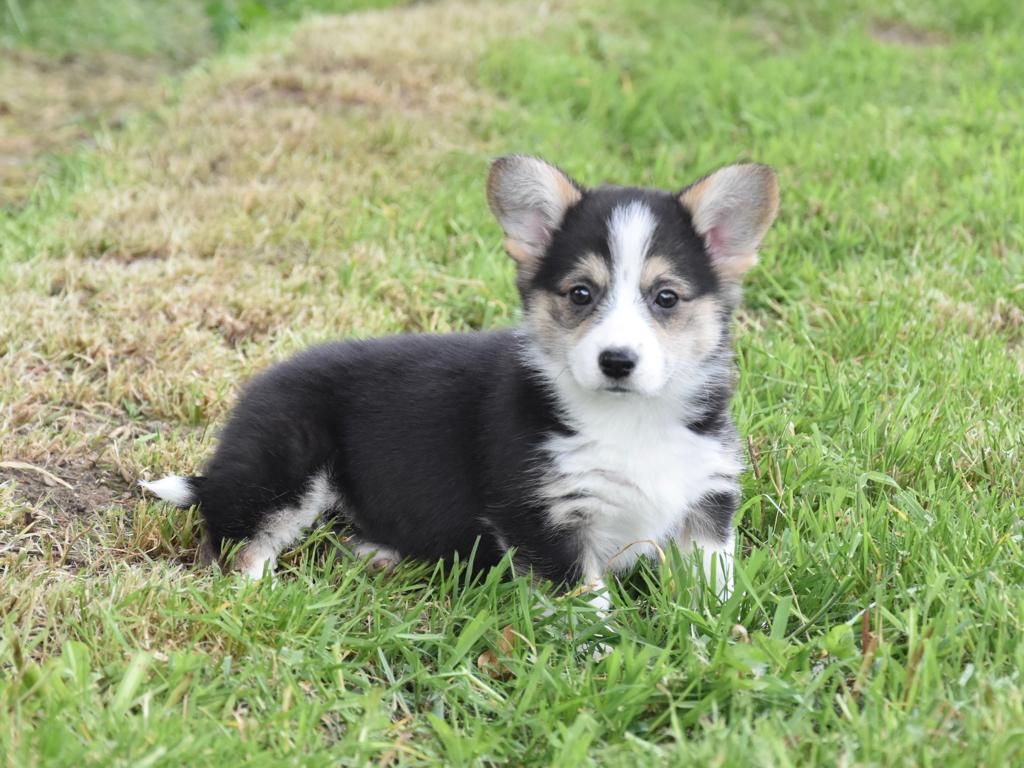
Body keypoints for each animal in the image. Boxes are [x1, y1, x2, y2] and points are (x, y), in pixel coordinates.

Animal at [141, 155, 778, 607]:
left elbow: (714, 586)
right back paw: (263, 598)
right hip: (287, 469)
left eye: (666, 297)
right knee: (237, 546)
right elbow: (586, 601)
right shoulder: (541, 517)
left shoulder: (706, 504)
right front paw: (600, 658)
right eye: (580, 293)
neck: (630, 418)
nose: (616, 361)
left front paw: (722, 645)